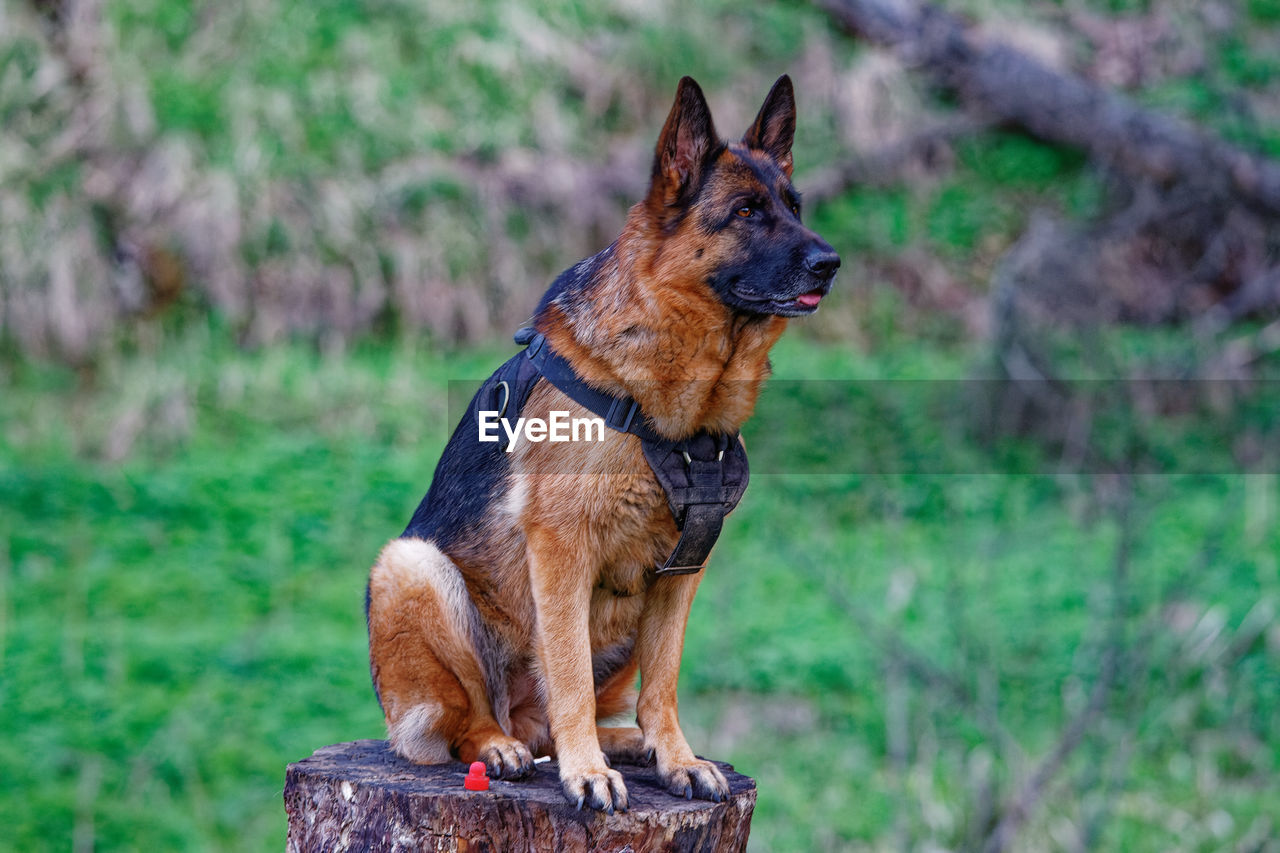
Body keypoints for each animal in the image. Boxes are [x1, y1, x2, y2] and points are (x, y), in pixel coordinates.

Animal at [366, 74, 839, 809]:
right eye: (745, 212)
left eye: (793, 207)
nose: (830, 262)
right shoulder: (562, 551)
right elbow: (568, 676)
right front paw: (585, 772)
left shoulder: (684, 566)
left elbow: (663, 683)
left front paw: (676, 758)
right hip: (412, 567)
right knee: (477, 717)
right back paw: (506, 746)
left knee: (579, 712)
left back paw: (626, 741)